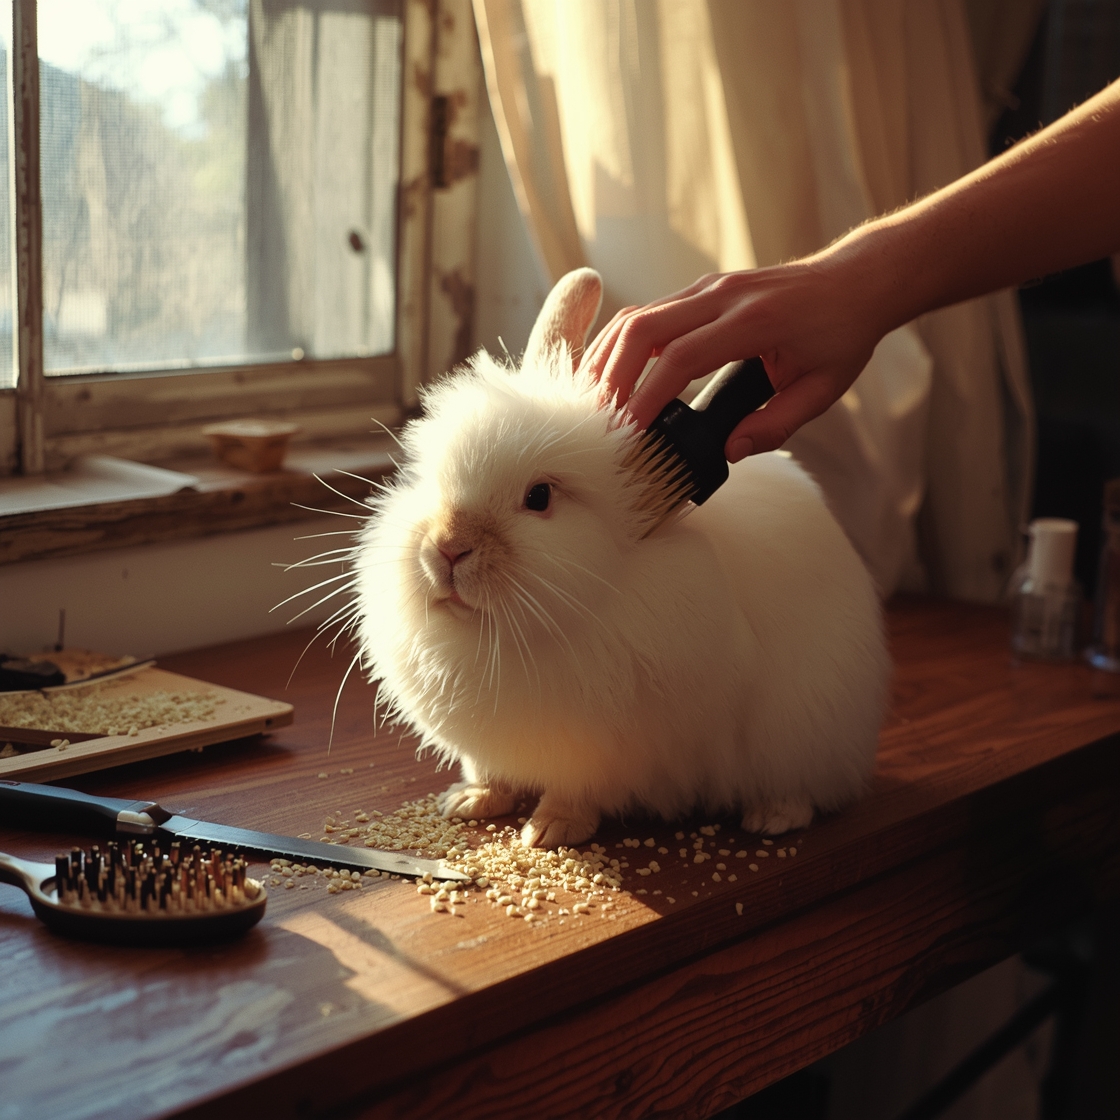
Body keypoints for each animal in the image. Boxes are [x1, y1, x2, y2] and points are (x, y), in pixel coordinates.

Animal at [354, 267, 889, 849]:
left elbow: (577, 790)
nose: (447, 547)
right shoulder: (490, 743)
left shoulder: (606, 751)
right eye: (428, 479)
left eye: (539, 497)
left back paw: (773, 816)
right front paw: (471, 801)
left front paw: (550, 830)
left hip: (801, 728)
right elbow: (490, 770)